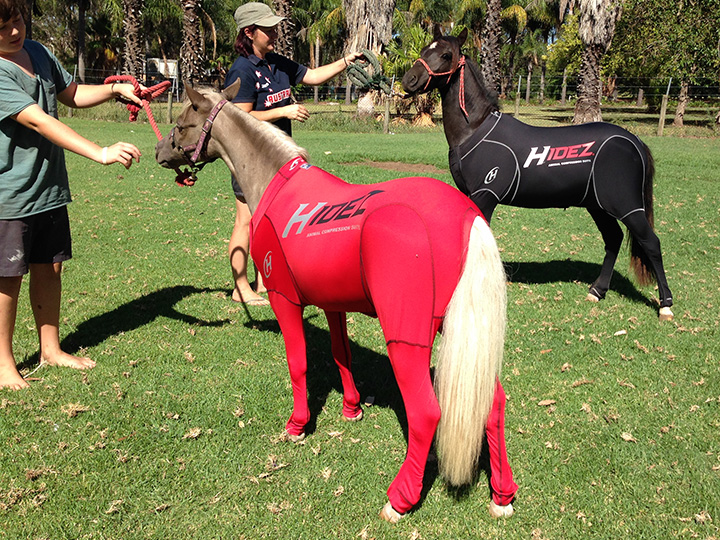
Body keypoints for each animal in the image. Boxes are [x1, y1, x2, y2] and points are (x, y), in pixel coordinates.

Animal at [155, 81, 518, 521]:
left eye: (183, 123)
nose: (159, 151)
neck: (278, 184)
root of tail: (468, 217)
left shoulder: (284, 299)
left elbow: (298, 363)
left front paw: (297, 426)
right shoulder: (334, 304)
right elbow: (341, 352)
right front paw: (351, 408)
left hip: (407, 337)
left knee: (426, 412)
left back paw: (400, 499)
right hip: (462, 330)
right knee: (493, 405)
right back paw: (501, 497)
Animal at [401, 26, 674, 321]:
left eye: (446, 54)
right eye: (424, 49)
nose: (409, 80)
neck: (474, 129)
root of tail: (634, 141)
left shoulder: (485, 195)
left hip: (627, 206)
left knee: (651, 243)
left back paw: (665, 306)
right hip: (597, 206)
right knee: (613, 239)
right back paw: (597, 291)